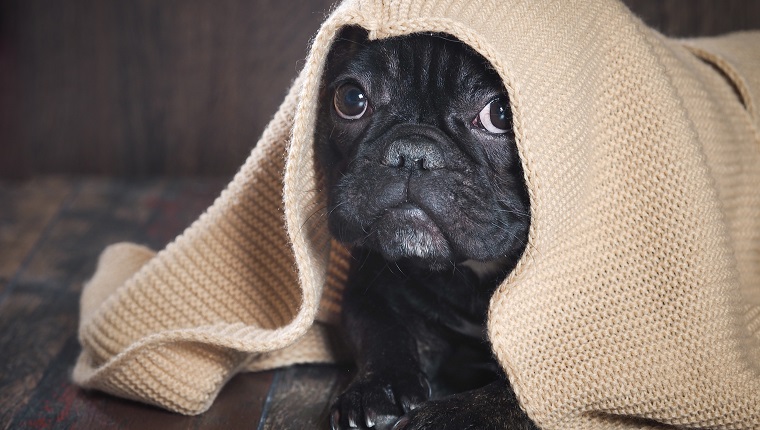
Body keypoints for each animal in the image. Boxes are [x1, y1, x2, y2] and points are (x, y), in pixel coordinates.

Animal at [318, 27, 536, 430]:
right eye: (351, 99)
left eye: (501, 113)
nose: (412, 153)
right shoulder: (368, 284)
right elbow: (378, 326)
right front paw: (379, 388)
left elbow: (521, 393)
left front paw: (447, 417)